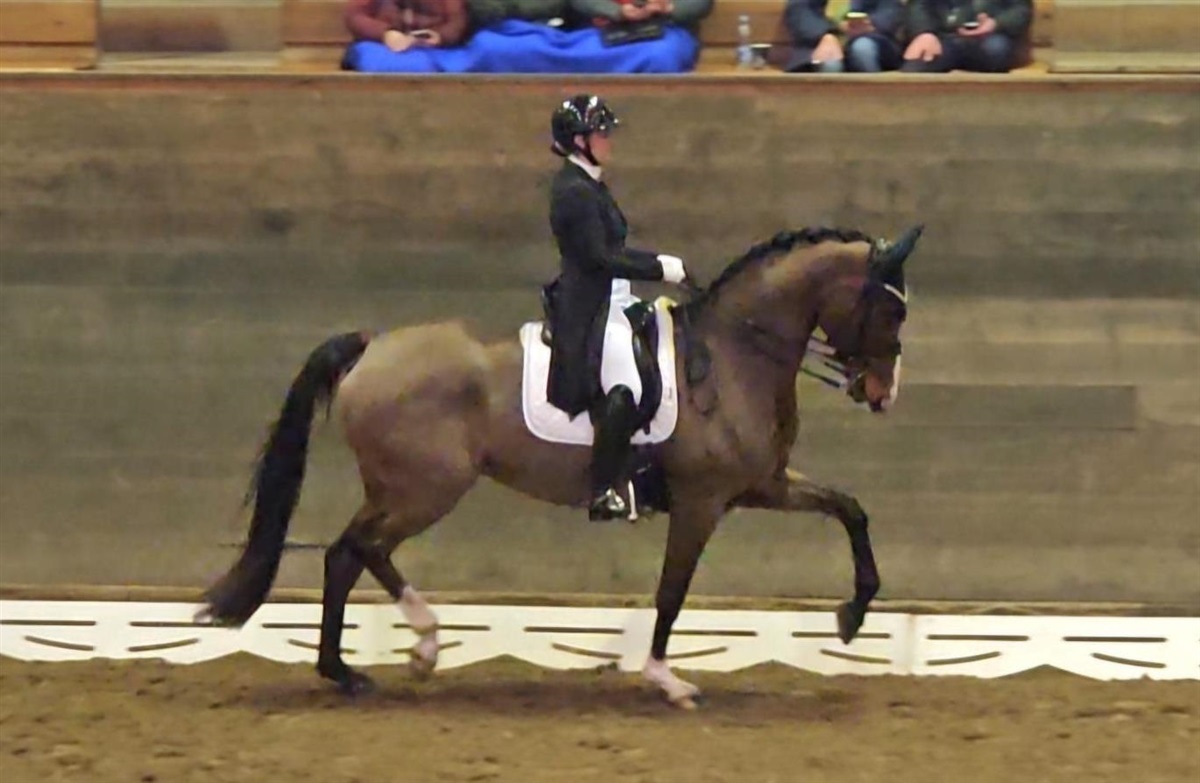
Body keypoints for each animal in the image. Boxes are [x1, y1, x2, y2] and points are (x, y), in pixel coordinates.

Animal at [200, 224, 923, 709]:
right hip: (424, 490)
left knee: (351, 554)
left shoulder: (759, 485)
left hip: (405, 490)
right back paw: (401, 652)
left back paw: (361, 666)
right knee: (354, 550)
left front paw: (853, 615)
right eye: (890, 306)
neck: (733, 354)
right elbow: (672, 591)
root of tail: (372, 347)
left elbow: (851, 508)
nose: (884, 392)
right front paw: (666, 678)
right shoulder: (701, 503)